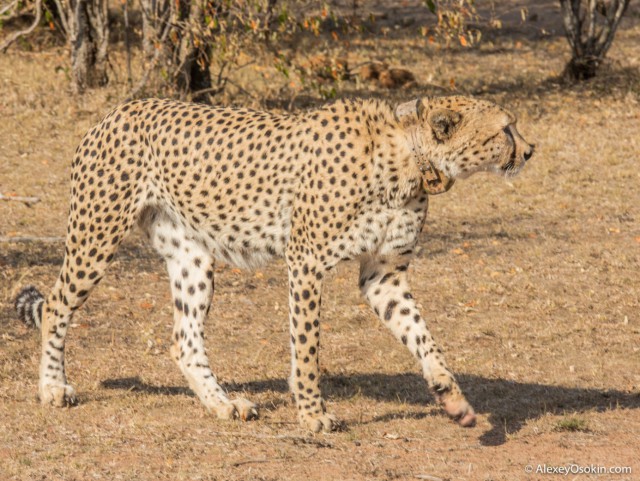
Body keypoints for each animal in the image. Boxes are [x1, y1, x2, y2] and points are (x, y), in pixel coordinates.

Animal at [16, 94, 536, 432]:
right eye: (505, 128)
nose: (530, 150)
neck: (408, 158)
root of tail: (117, 110)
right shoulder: (305, 263)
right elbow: (307, 347)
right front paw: (311, 414)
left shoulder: (383, 275)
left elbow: (423, 337)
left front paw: (452, 397)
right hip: (96, 236)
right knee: (57, 305)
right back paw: (53, 389)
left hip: (192, 255)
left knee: (185, 340)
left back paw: (223, 405)